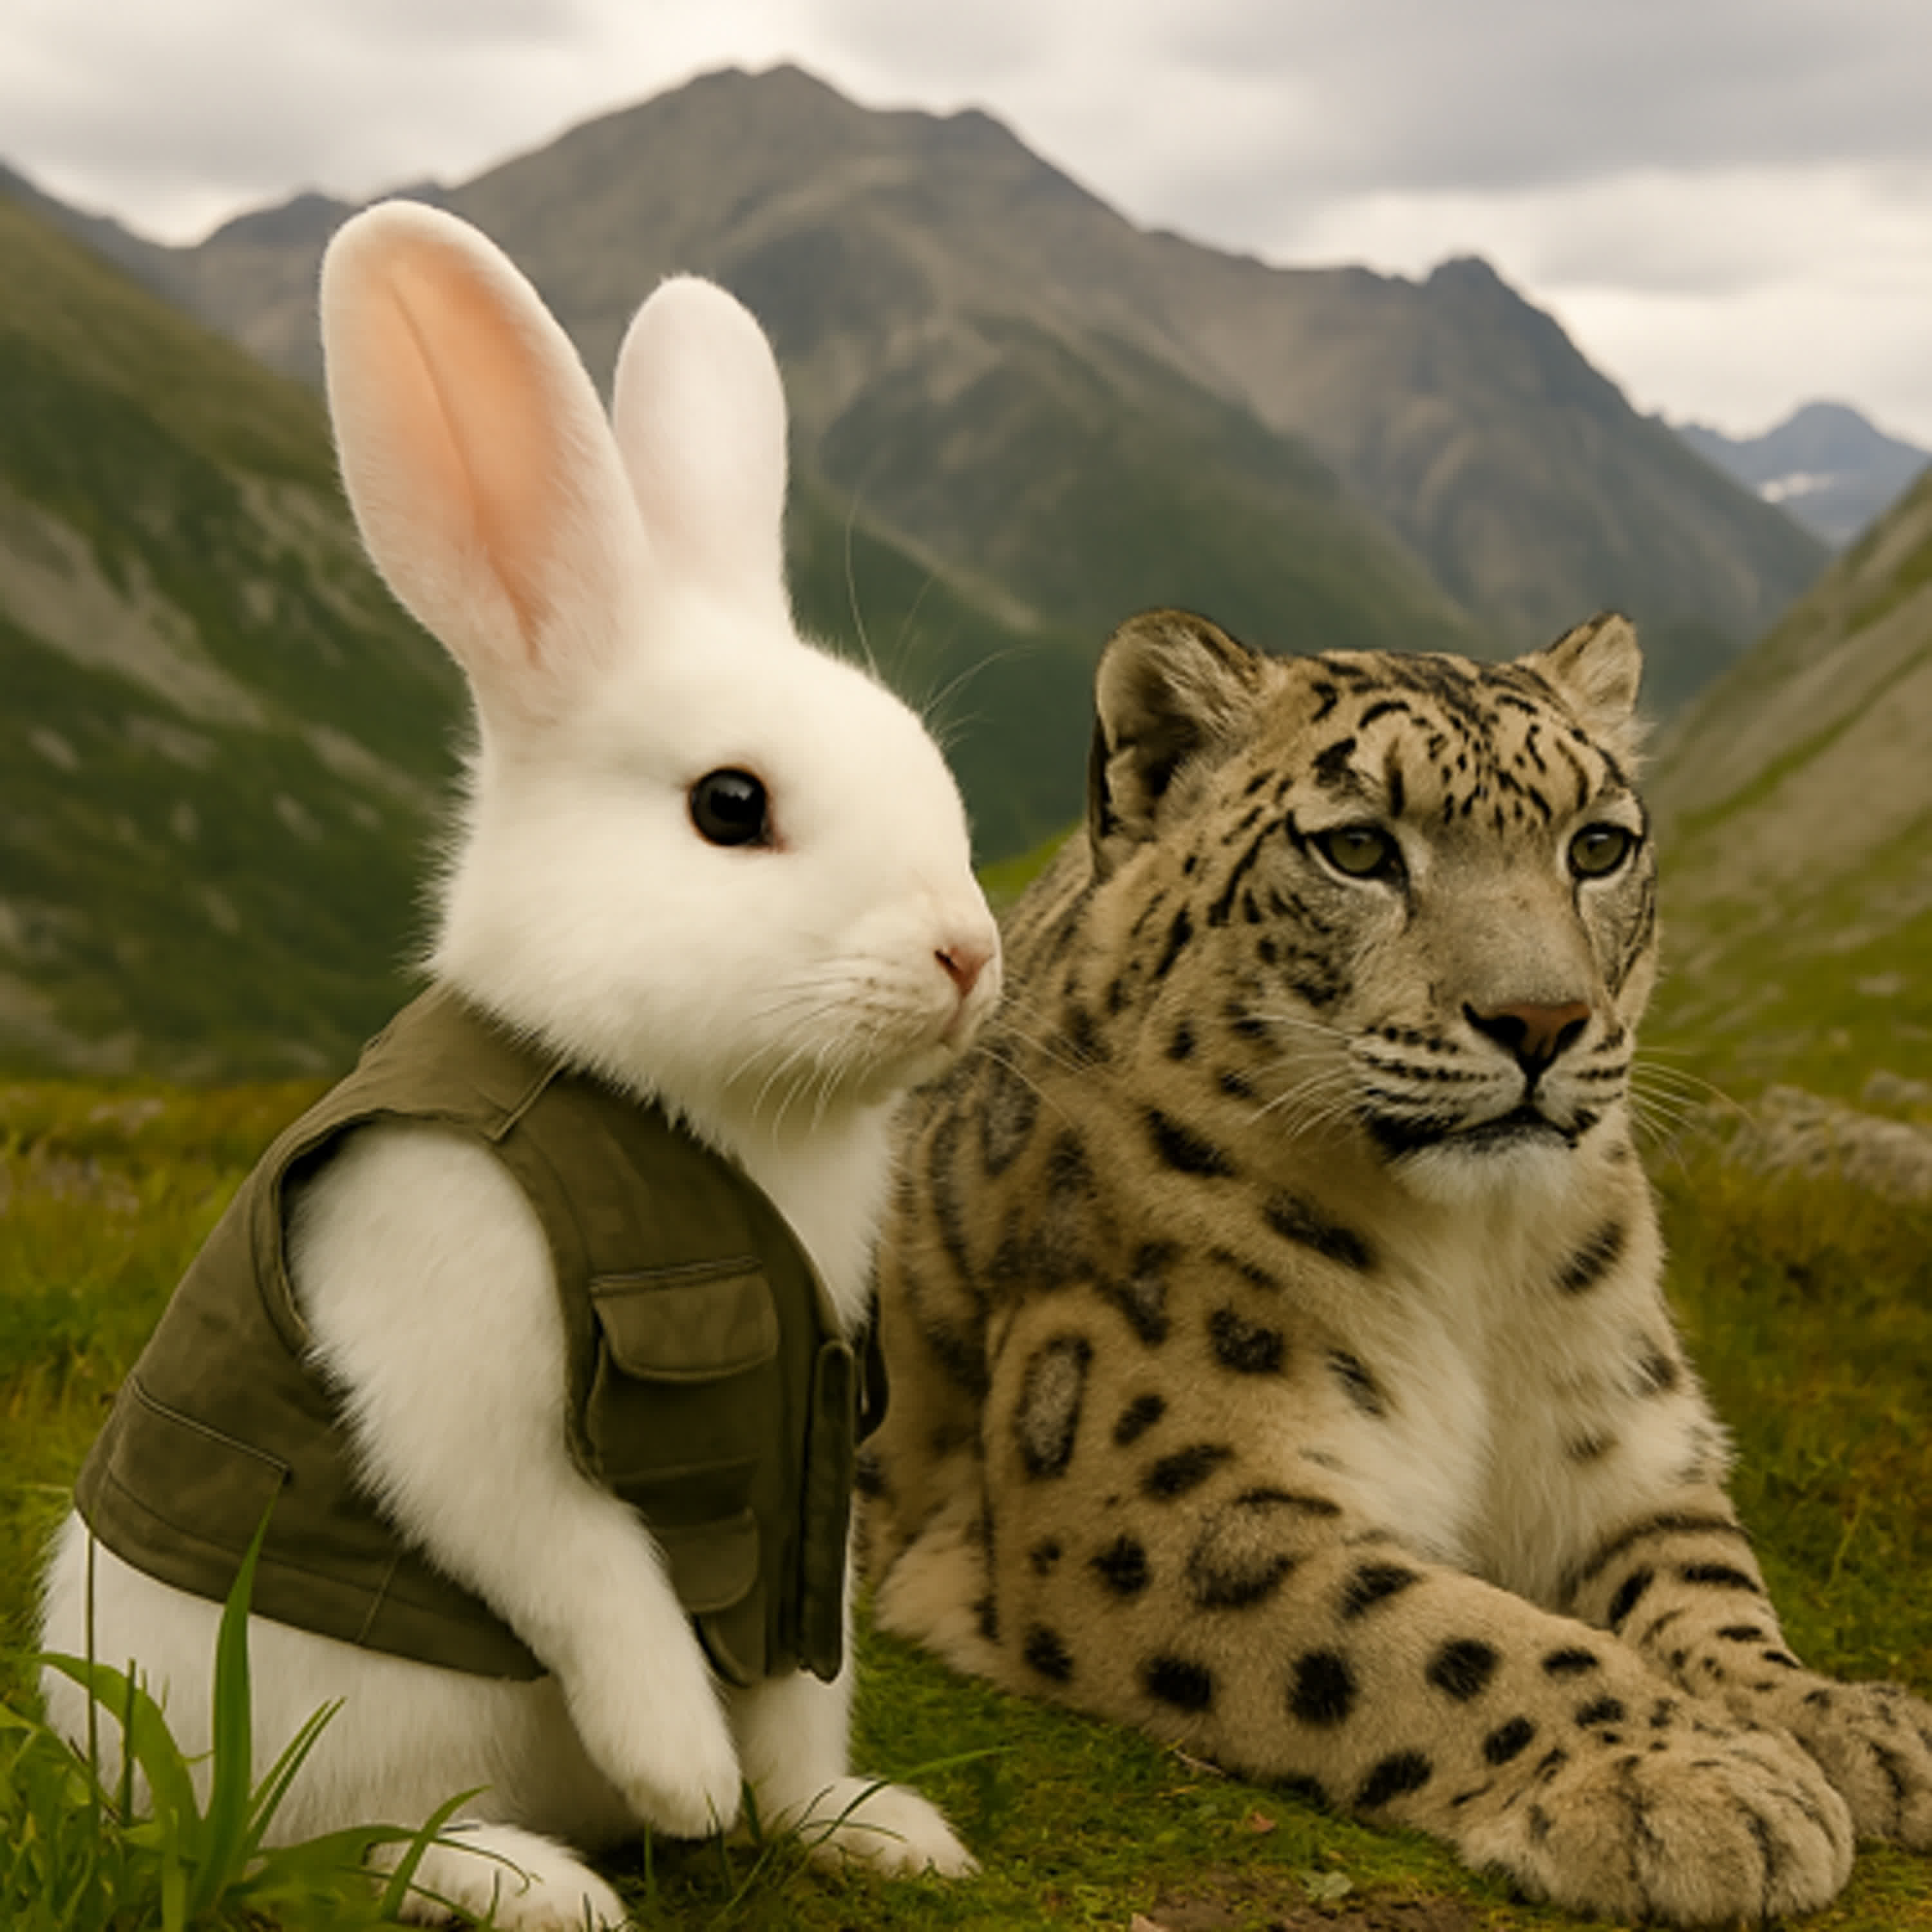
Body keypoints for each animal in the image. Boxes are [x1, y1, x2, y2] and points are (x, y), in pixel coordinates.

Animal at [862, 607, 1932, 1925]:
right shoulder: (1162, 1493)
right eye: (1360, 847)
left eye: (1600, 845)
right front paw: (1694, 1781)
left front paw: (1848, 1722)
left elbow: (1711, 1593)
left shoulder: (1623, 1449)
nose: (1543, 1020)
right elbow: (1449, 1637)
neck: (1477, 1275)